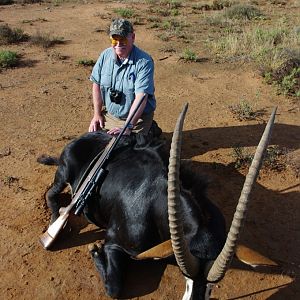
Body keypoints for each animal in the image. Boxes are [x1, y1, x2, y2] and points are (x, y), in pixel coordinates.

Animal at [39, 104, 276, 298]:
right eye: (186, 278)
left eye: (212, 285)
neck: (155, 205)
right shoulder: (114, 242)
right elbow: (114, 287)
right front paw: (95, 250)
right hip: (64, 173)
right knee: (51, 195)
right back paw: (54, 225)